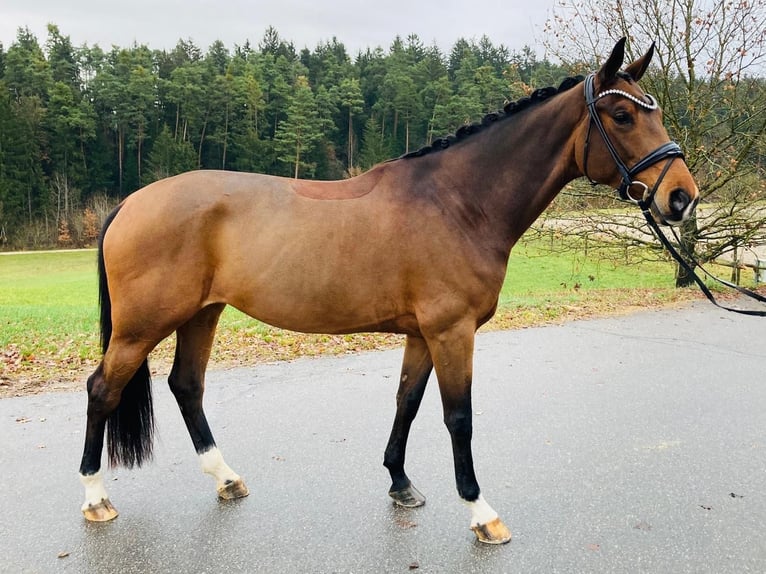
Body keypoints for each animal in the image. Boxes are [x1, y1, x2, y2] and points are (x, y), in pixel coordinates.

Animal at [79, 39, 704, 544]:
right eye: (622, 115)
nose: (681, 197)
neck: (458, 203)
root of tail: (130, 203)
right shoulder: (452, 332)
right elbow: (459, 417)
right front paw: (481, 512)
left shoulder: (422, 334)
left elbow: (407, 401)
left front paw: (400, 483)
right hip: (143, 326)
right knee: (102, 390)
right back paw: (96, 498)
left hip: (202, 313)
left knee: (186, 386)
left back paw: (226, 479)